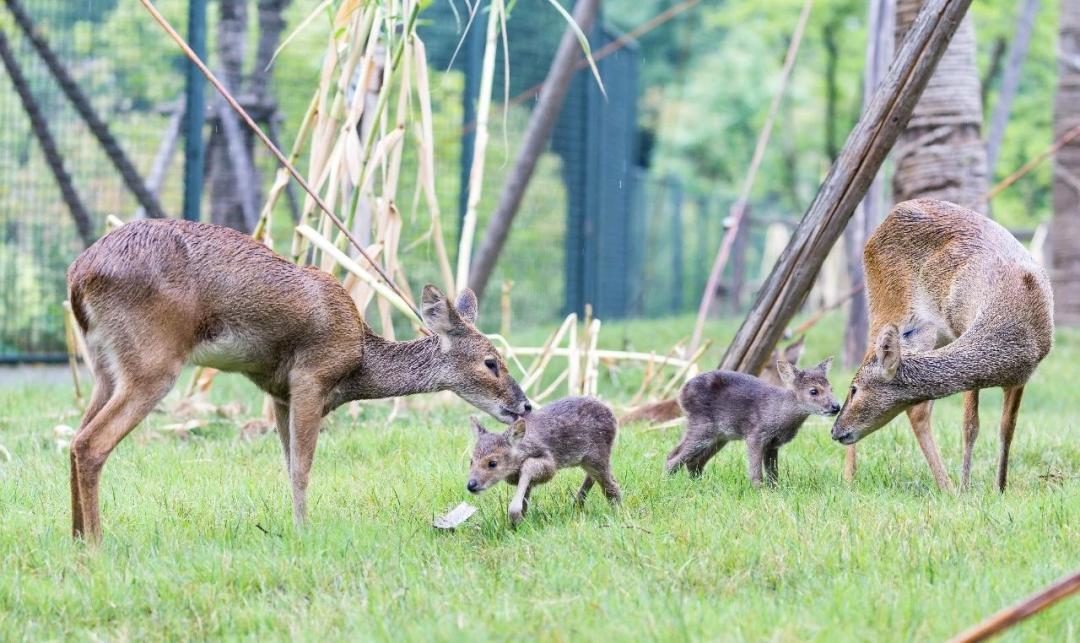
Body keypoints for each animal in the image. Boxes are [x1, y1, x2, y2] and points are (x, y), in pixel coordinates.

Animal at [65, 219, 529, 540]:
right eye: (491, 362)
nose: (523, 404)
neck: (359, 361)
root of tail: (78, 275)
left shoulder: (277, 391)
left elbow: (288, 463)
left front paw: (294, 525)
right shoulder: (311, 376)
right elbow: (302, 466)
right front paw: (303, 530)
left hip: (105, 366)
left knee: (74, 439)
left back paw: (76, 538)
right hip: (153, 362)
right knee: (90, 443)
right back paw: (97, 544)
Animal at [829, 201, 1049, 492]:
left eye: (854, 390)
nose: (835, 430)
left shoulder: (1023, 375)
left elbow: (1007, 430)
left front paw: (1000, 489)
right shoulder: (962, 329)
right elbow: (970, 425)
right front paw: (966, 488)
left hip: (930, 333)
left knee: (918, 408)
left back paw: (944, 485)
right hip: (885, 306)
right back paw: (849, 478)